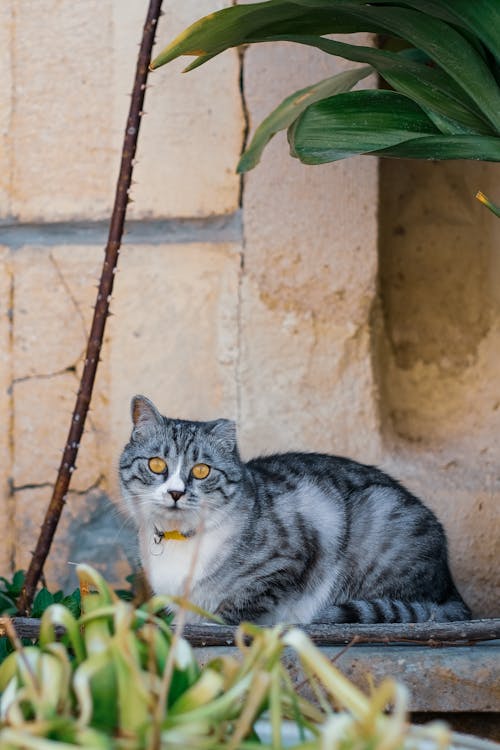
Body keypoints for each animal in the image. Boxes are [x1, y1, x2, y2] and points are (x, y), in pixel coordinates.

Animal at [119, 396, 470, 624]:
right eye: (156, 464)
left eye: (202, 471)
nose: (176, 492)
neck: (180, 540)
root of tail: (452, 589)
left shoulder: (294, 548)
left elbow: (241, 605)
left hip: (381, 515)